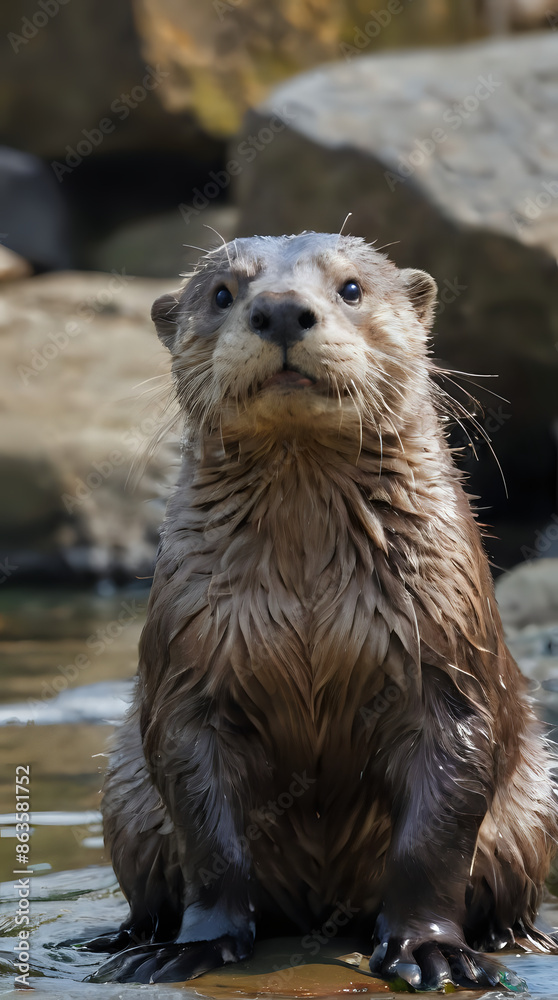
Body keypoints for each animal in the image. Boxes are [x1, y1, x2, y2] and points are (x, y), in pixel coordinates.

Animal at [91, 233, 557, 988]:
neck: (309, 588)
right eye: (222, 293)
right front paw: (196, 945)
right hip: (125, 799)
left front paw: (429, 949)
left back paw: (519, 937)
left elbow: (436, 833)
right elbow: (204, 830)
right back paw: (128, 937)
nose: (281, 309)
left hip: (533, 812)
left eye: (351, 288)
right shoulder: (190, 664)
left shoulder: (444, 659)